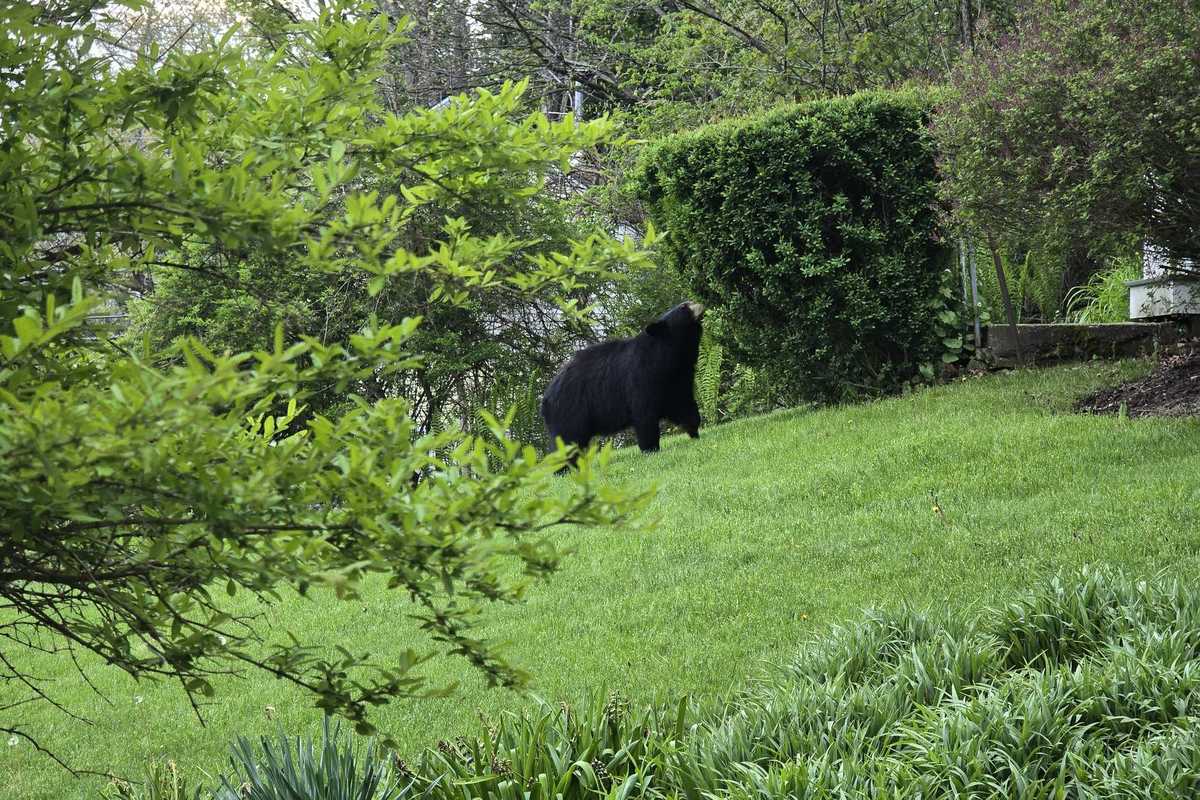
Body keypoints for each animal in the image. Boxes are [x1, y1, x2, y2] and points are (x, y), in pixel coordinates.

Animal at [541, 301, 706, 455]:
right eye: (684, 306)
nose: (699, 304)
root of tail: (545, 398)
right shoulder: (641, 378)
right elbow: (644, 415)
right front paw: (650, 449)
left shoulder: (678, 379)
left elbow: (684, 405)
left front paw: (695, 433)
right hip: (570, 410)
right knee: (566, 440)